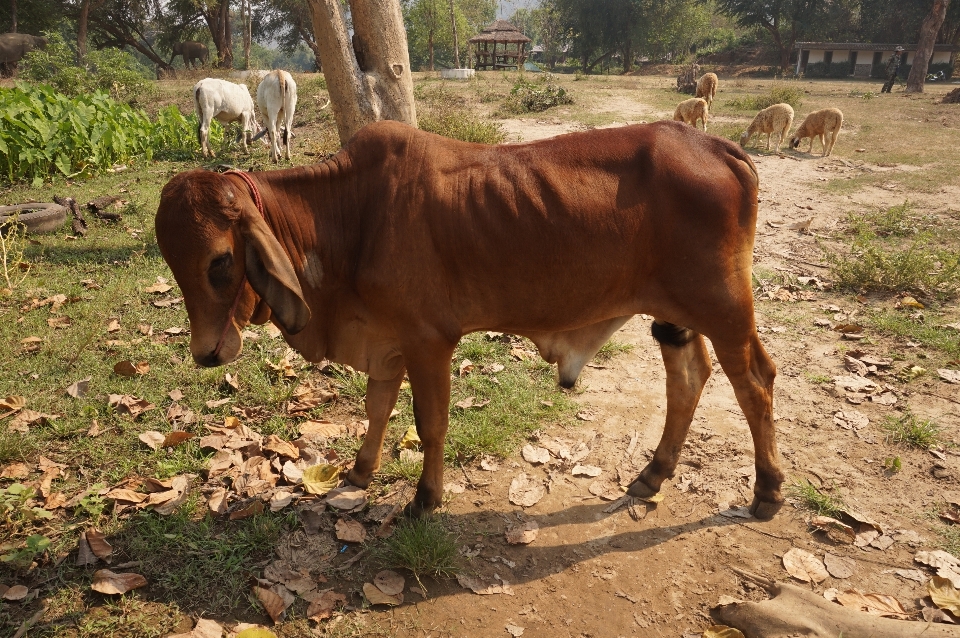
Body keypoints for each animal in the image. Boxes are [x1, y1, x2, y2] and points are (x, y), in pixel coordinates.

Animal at [158, 119, 784, 520]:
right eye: (172, 262)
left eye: (220, 262)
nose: (206, 352)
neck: (348, 216)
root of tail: (718, 146)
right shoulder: (387, 340)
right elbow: (377, 408)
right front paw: (360, 472)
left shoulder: (429, 341)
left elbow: (430, 423)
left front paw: (424, 499)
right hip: (675, 313)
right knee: (690, 375)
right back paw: (654, 472)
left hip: (725, 306)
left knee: (754, 382)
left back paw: (768, 491)